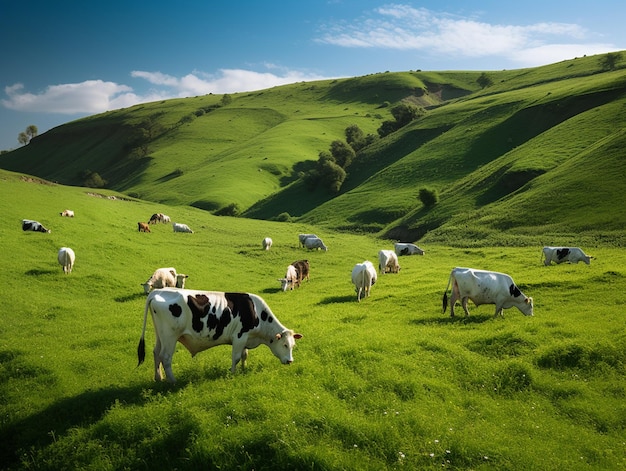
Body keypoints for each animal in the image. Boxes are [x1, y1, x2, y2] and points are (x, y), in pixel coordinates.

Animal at [137, 288, 302, 384]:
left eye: (293, 346)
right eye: (285, 345)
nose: (290, 361)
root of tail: (158, 291)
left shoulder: (245, 338)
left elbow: (244, 355)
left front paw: (243, 369)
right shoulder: (240, 336)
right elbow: (236, 357)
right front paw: (233, 373)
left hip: (161, 335)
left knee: (156, 352)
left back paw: (159, 378)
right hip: (170, 336)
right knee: (165, 357)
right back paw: (173, 381)